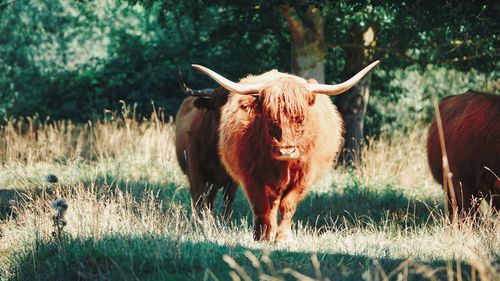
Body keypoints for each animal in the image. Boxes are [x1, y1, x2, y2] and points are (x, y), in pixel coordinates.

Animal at [192, 60, 378, 241]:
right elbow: (260, 204)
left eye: (300, 118)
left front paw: (282, 238)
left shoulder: (305, 175)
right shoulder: (250, 174)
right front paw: (261, 235)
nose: (286, 151)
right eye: (270, 117)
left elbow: (288, 204)